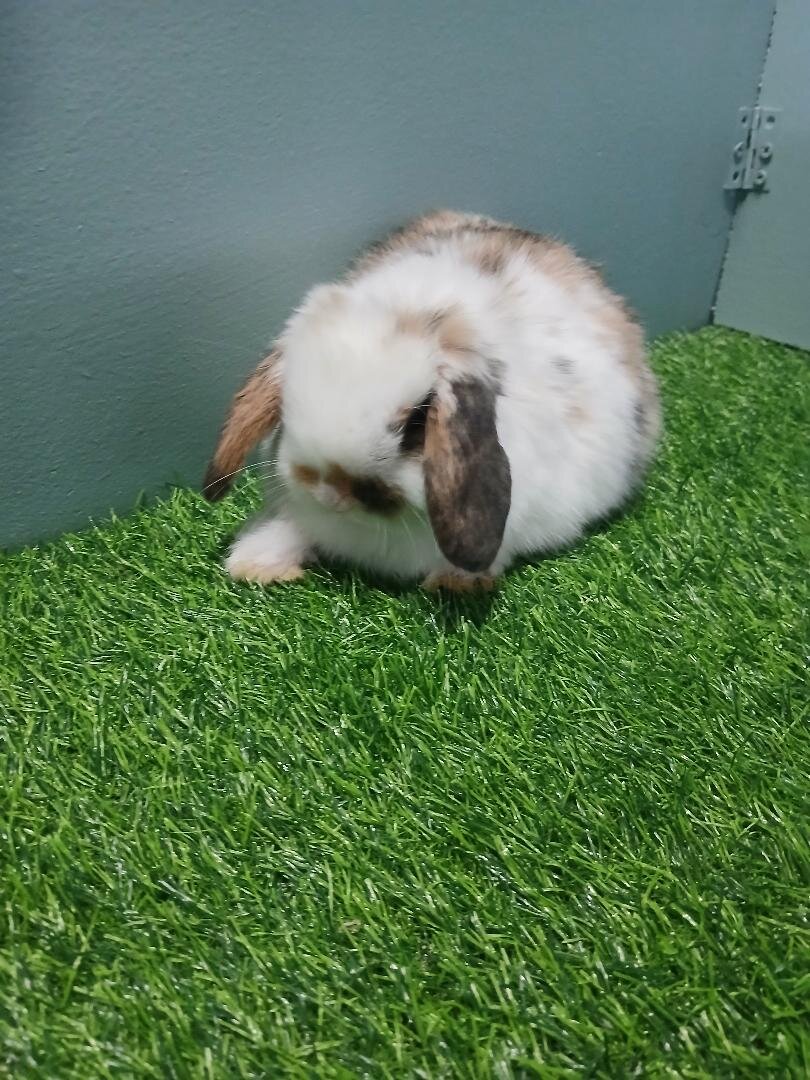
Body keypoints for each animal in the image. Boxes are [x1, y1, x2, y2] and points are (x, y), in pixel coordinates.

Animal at [203, 210, 661, 591]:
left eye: (415, 425)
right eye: (288, 404)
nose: (333, 494)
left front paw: (455, 584)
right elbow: (291, 527)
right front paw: (255, 564)